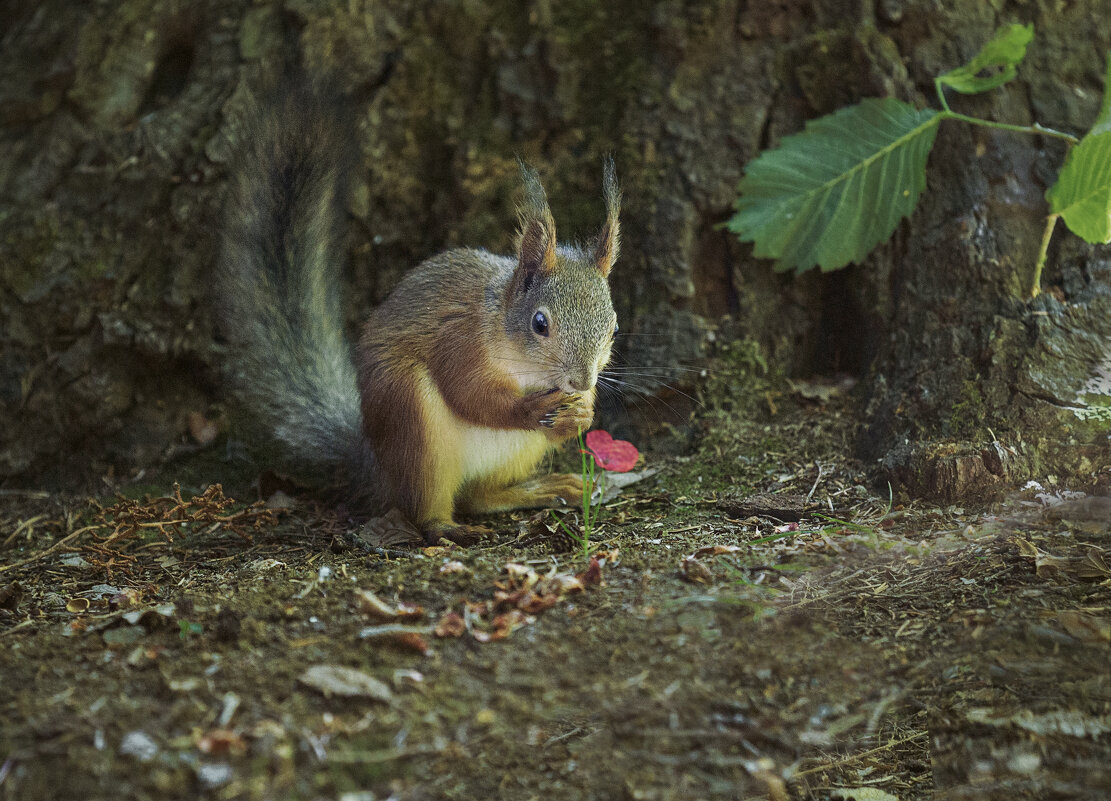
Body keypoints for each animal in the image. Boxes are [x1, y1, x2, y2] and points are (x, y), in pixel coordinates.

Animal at [212, 81, 622, 544]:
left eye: (613, 328)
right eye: (540, 323)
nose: (582, 381)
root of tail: (374, 466)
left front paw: (583, 412)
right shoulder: (458, 342)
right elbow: (470, 395)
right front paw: (530, 411)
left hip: (516, 452)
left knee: (478, 496)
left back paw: (544, 488)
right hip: (413, 421)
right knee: (426, 508)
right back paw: (451, 528)